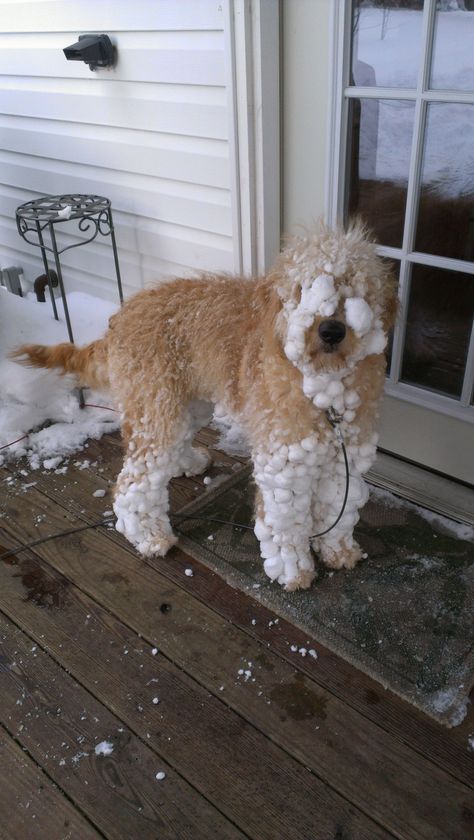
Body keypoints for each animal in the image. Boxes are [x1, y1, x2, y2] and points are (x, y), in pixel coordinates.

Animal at [13, 220, 396, 588]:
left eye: (356, 288)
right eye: (304, 288)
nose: (331, 330)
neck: (325, 391)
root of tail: (120, 319)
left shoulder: (343, 461)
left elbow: (337, 513)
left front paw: (339, 551)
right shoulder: (283, 465)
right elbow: (284, 525)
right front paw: (293, 572)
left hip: (187, 403)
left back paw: (187, 463)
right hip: (156, 408)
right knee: (131, 485)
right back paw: (150, 537)